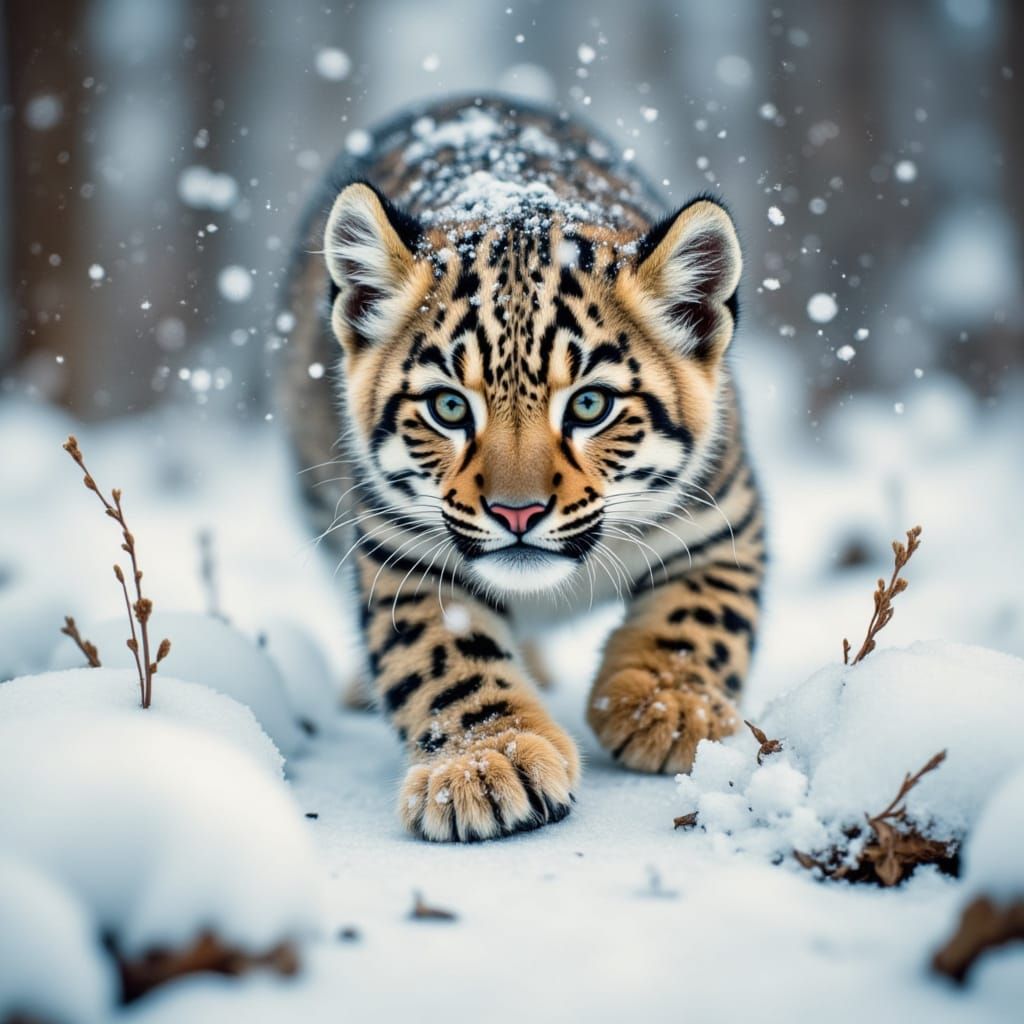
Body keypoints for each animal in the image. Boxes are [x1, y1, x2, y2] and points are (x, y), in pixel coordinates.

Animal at [276, 94, 765, 842]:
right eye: (449, 407)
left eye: (590, 404)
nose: (517, 513)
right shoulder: (401, 552)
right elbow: (444, 659)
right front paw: (485, 764)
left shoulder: (722, 514)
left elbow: (703, 616)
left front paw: (665, 708)